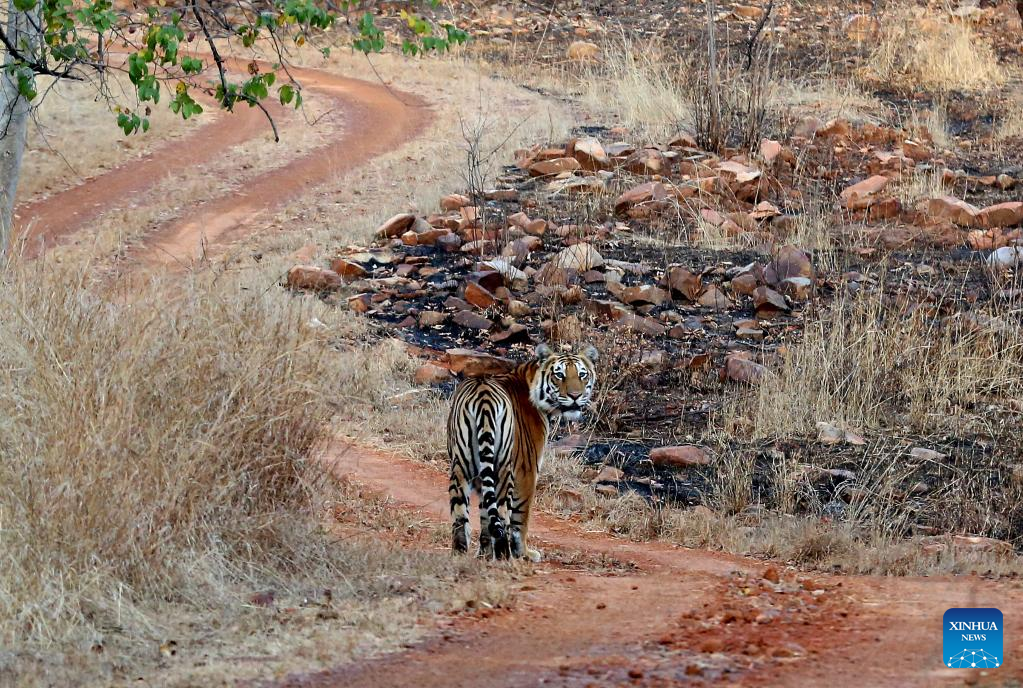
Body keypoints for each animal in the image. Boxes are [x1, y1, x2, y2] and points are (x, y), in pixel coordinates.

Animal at [448, 341, 597, 560]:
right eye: (559, 375)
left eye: (582, 374)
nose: (575, 396)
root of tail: (483, 395)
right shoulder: (528, 470)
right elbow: (521, 517)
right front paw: (524, 553)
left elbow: (485, 516)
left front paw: (484, 555)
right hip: (502, 468)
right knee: (502, 514)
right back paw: (505, 556)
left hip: (461, 465)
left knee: (460, 516)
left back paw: (459, 554)